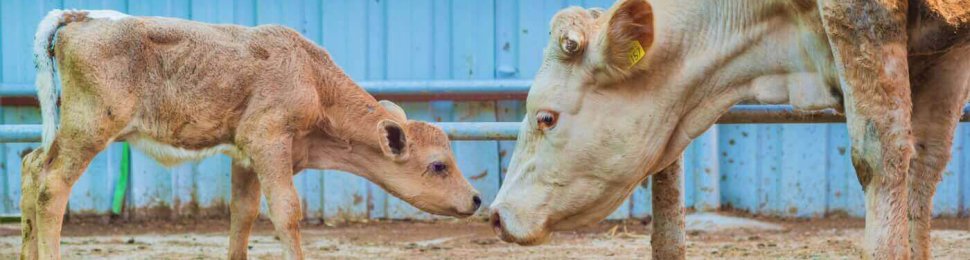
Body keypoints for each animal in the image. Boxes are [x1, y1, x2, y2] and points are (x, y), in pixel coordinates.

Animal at [18, 9, 480, 258]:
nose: (476, 199)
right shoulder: (268, 141)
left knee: (30, 166)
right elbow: (287, 211)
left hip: (65, 130)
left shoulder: (245, 157)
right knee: (52, 186)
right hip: (89, 128)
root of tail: (80, 17)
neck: (311, 76)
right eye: (439, 165)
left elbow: (243, 215)